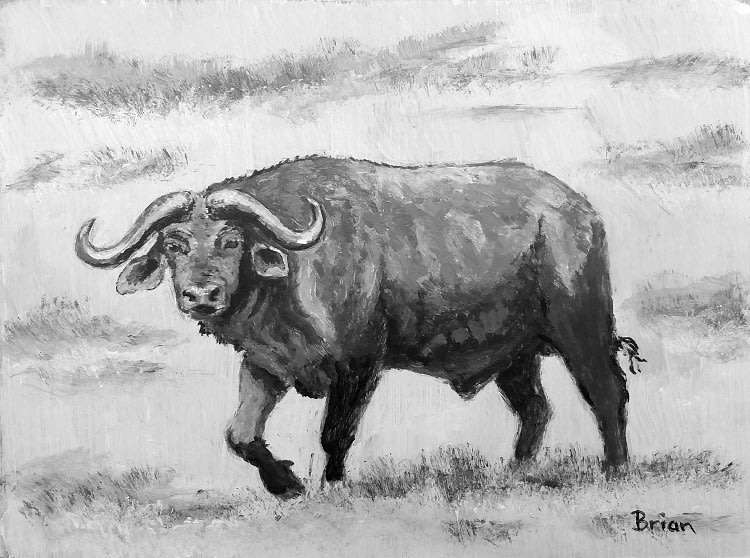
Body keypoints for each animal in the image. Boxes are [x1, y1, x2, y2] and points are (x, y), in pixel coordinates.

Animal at [76, 156, 642, 498]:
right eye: (174, 244)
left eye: (231, 240)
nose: (200, 295)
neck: (294, 275)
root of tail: (579, 211)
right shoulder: (265, 364)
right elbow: (241, 434)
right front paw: (286, 485)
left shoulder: (359, 365)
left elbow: (335, 433)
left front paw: (331, 486)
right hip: (513, 355)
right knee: (535, 409)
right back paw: (515, 473)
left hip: (582, 327)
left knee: (606, 391)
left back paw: (615, 470)